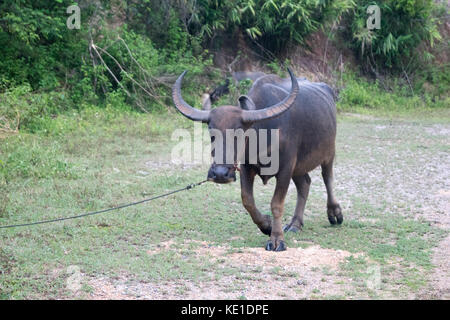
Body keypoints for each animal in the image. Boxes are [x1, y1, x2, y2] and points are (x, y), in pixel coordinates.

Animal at [171, 69, 342, 251]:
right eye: (211, 132)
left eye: (239, 132)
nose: (220, 174)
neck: (264, 135)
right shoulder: (246, 167)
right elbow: (247, 200)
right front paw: (266, 225)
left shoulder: (286, 168)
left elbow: (276, 204)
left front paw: (277, 239)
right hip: (298, 167)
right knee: (305, 184)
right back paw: (295, 224)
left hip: (328, 153)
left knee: (327, 177)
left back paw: (334, 213)